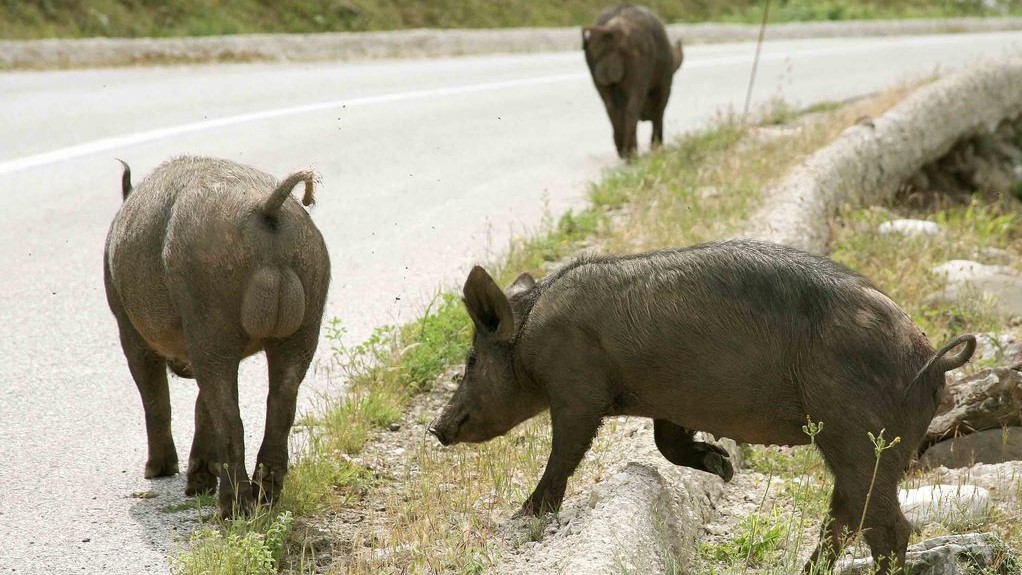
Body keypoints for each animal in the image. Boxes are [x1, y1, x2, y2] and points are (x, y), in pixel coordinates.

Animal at [103, 156, 329, 516]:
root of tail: (266, 208)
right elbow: (199, 402)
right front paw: (196, 485)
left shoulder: (129, 328)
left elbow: (155, 397)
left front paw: (157, 473)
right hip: (307, 308)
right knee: (281, 399)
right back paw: (265, 498)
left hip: (209, 309)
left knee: (227, 412)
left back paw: (230, 510)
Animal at [429, 235, 972, 571]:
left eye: (471, 359)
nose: (437, 428)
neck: (531, 333)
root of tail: (931, 360)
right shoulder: (670, 403)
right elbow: (664, 440)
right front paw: (723, 467)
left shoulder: (577, 390)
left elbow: (566, 450)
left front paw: (525, 516)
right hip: (860, 444)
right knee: (848, 516)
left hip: (862, 434)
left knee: (886, 527)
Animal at [584, 4, 686, 158]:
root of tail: (611, 31)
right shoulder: (664, 87)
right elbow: (659, 114)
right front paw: (657, 146)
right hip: (637, 83)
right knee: (632, 110)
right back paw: (632, 152)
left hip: (602, 86)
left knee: (612, 110)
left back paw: (623, 150)